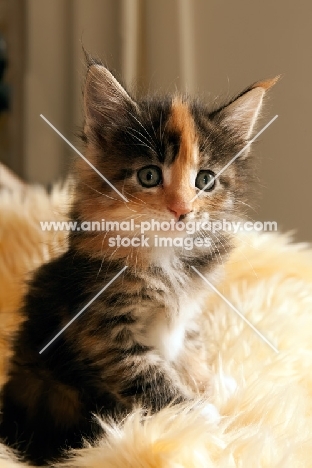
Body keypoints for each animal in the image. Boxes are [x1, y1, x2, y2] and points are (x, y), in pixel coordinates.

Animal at [0, 57, 278, 464]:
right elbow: (151, 379)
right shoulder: (104, 332)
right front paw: (203, 418)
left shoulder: (187, 315)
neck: (166, 259)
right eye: (149, 175)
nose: (181, 210)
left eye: (205, 180)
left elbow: (189, 348)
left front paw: (210, 384)